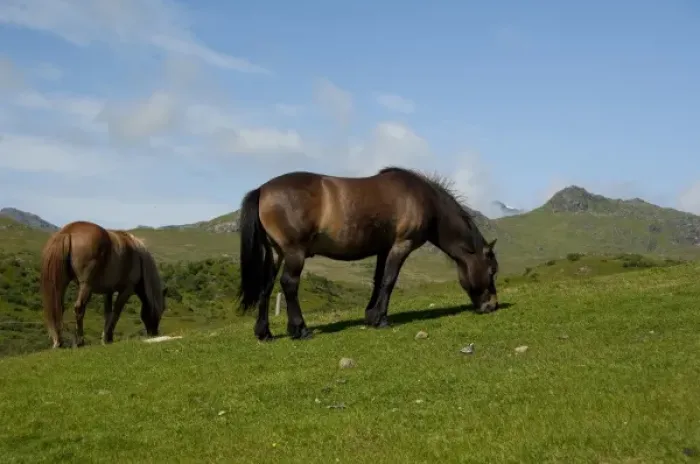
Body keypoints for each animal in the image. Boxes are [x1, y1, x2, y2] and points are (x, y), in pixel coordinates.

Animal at [40, 220, 168, 349]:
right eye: (161, 311)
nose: (154, 333)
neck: (139, 259)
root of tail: (68, 232)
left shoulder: (108, 292)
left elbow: (108, 314)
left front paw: (106, 337)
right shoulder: (126, 290)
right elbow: (116, 313)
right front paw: (108, 337)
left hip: (60, 284)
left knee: (59, 308)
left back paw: (58, 342)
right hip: (86, 286)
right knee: (79, 308)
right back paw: (79, 341)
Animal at [236, 166, 500, 341]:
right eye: (492, 271)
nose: (492, 306)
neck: (424, 199)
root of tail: (262, 190)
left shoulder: (384, 249)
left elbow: (378, 280)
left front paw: (371, 315)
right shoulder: (401, 245)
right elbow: (390, 280)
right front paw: (381, 319)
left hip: (276, 253)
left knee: (266, 286)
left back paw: (264, 332)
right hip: (293, 253)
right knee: (289, 284)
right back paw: (300, 329)